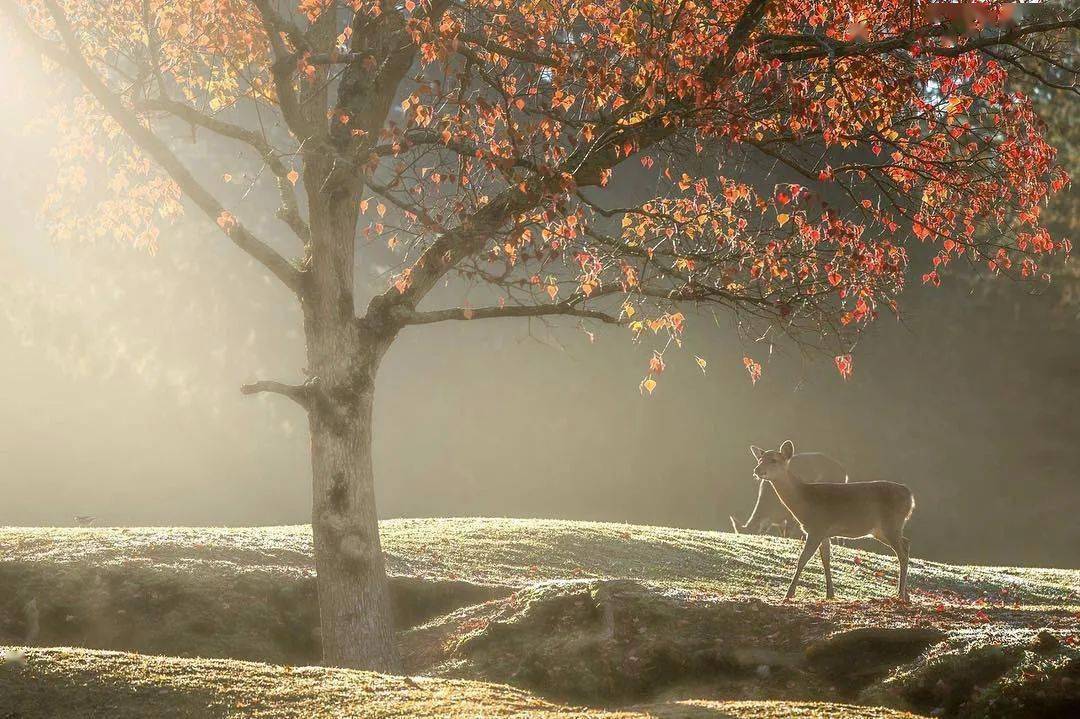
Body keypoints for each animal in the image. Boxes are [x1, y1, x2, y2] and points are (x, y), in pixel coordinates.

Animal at [751, 440, 920, 600]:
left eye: (774, 460)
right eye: (760, 459)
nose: (757, 470)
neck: (805, 502)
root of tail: (910, 497)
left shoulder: (817, 528)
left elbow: (803, 559)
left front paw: (789, 593)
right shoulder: (824, 533)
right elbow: (826, 560)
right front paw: (830, 594)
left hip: (891, 523)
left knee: (902, 553)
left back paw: (900, 595)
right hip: (881, 530)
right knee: (906, 544)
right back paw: (906, 595)